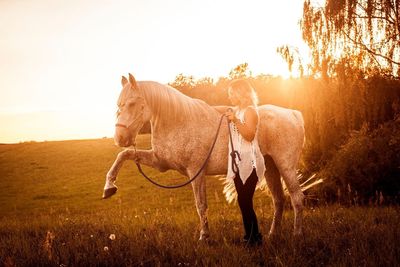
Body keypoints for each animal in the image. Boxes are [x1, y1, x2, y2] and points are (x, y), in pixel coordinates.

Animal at [103, 74, 306, 243]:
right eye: (119, 105)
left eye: (132, 104)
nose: (120, 138)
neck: (178, 121)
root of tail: (293, 114)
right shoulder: (160, 162)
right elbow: (124, 155)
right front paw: (109, 188)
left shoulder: (196, 171)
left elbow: (201, 205)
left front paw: (204, 237)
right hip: (271, 168)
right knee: (278, 200)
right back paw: (272, 235)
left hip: (285, 166)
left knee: (296, 197)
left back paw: (297, 234)